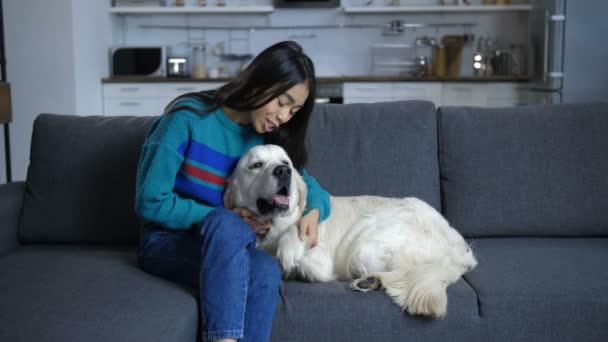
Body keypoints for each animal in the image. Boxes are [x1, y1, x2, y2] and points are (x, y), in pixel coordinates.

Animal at [224, 144, 480, 318]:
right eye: (256, 165)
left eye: (285, 163)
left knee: (408, 271)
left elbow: (295, 246)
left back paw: (370, 281)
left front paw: (289, 253)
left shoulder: (319, 258)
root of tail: (459, 250)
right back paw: (371, 282)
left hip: (366, 246)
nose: (283, 171)